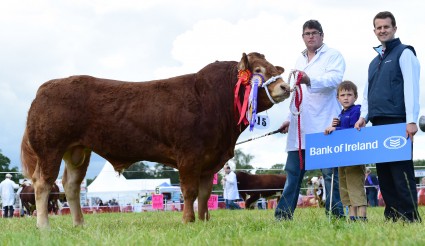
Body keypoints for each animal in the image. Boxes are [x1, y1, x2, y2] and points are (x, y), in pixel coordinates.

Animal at [21, 52, 290, 228]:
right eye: (258, 71)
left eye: (275, 70)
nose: (285, 87)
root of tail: (46, 87)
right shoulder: (189, 156)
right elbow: (190, 191)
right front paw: (188, 220)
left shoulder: (210, 159)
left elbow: (204, 194)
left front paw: (204, 220)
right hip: (50, 149)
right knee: (43, 184)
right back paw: (44, 225)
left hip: (78, 150)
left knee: (71, 185)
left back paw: (79, 224)